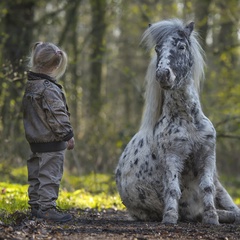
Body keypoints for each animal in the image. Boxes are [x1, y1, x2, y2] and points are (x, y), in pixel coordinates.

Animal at [115, 18, 239, 225]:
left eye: (181, 46)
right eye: (157, 49)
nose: (162, 75)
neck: (187, 120)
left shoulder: (207, 156)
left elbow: (207, 187)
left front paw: (212, 217)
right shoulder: (173, 157)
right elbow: (173, 188)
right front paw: (170, 217)